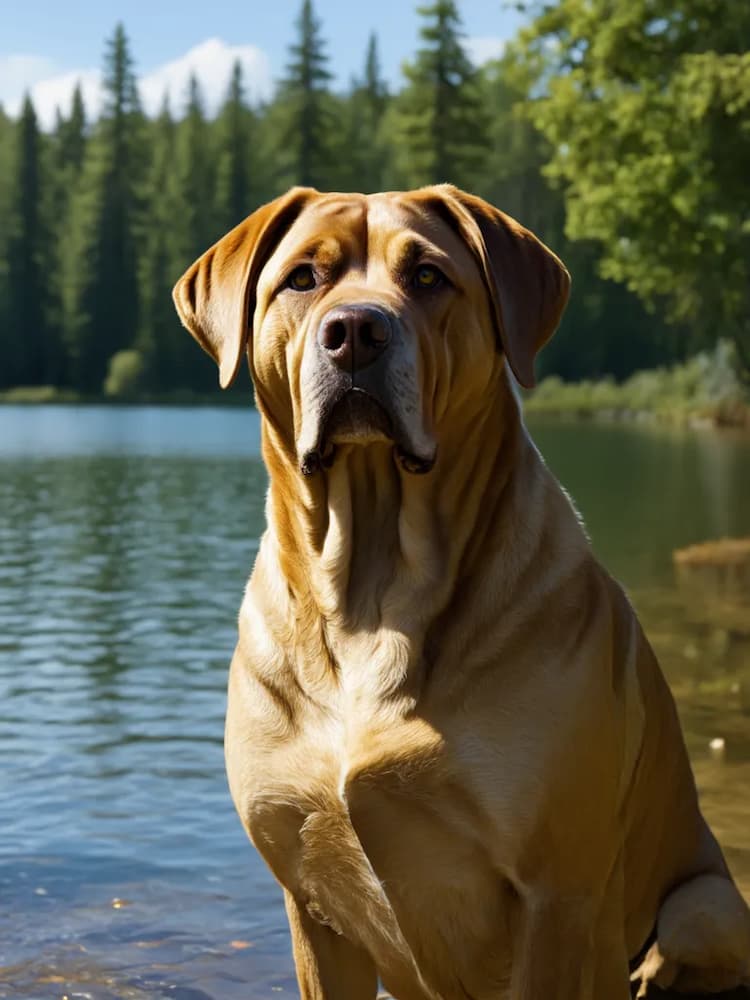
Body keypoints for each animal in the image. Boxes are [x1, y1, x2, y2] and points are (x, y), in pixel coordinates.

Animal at [172, 184, 750, 996]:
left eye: (426, 277)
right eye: (303, 278)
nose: (355, 332)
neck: (371, 593)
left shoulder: (555, 897)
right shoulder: (309, 903)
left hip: (708, 908)